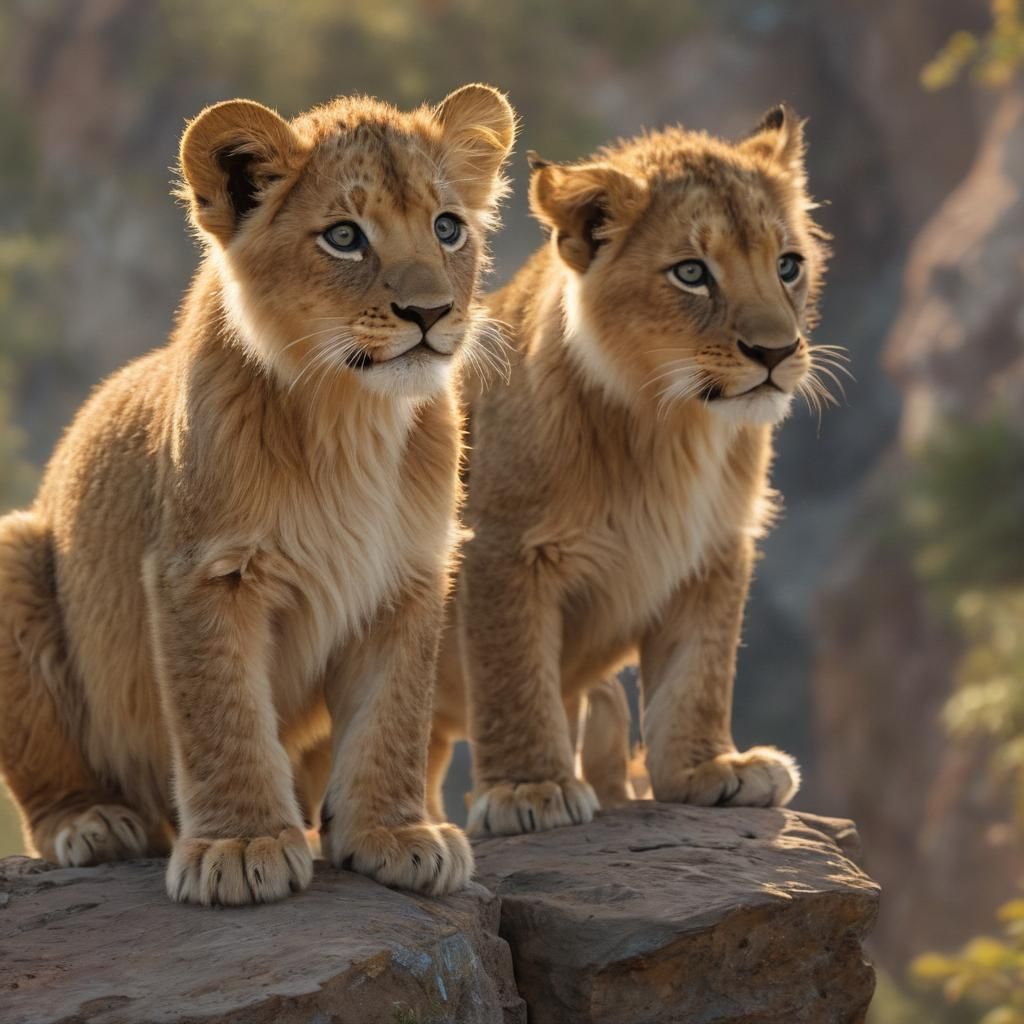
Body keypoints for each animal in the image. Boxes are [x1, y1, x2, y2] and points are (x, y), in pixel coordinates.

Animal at [0, 84, 516, 903]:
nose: (432, 313)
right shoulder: (203, 571)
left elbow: (392, 714)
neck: (350, 420)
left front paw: (396, 834)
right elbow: (224, 711)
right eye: (344, 237)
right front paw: (242, 846)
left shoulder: (407, 576)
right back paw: (95, 823)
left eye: (447, 227)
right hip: (13, 551)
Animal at [428, 106, 840, 834]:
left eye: (788, 265)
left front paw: (710, 768)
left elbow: (700, 668)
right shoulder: (501, 547)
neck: (672, 428)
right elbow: (512, 671)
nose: (776, 352)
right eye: (692, 274)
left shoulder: (715, 547)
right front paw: (529, 789)